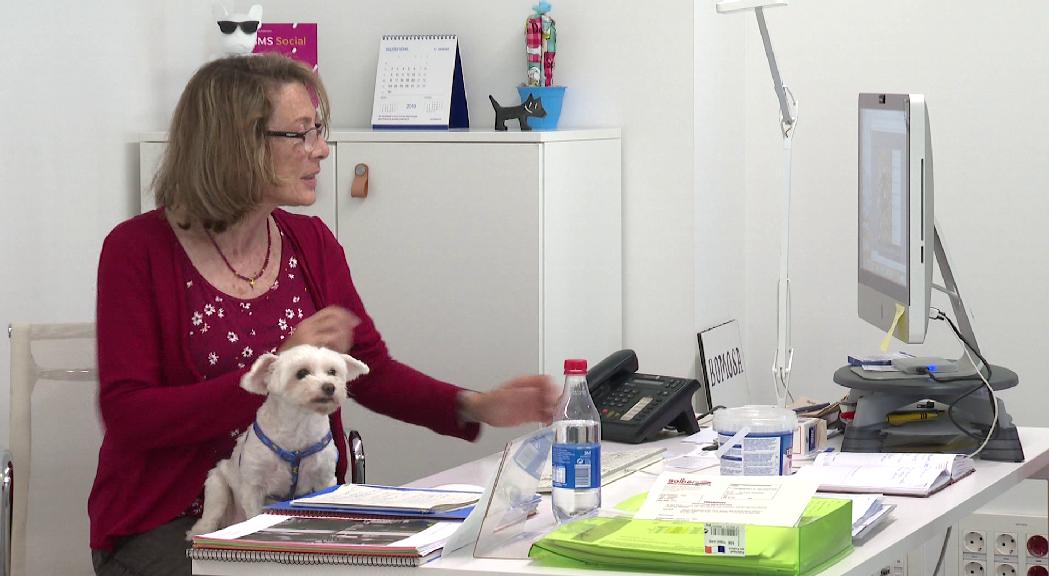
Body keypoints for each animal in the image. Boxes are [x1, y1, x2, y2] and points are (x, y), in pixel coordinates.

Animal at [188, 344, 369, 537]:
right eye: (301, 373)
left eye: (332, 371)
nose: (330, 387)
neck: (299, 427)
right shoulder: (253, 486)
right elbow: (254, 514)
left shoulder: (324, 479)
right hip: (217, 485)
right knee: (211, 516)